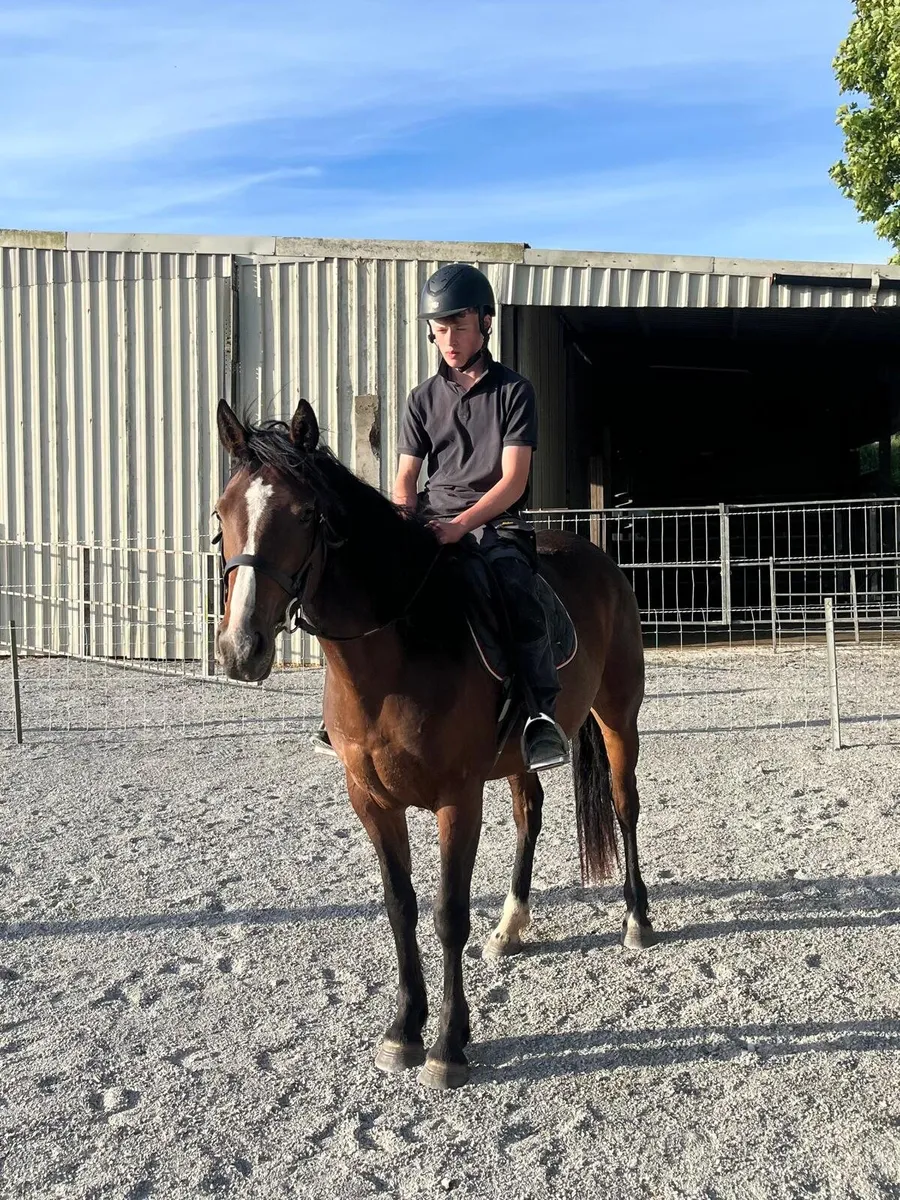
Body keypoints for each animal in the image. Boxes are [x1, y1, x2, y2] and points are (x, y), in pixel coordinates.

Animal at [213, 397, 654, 1090]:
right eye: (221, 513)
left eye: (306, 515)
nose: (240, 649)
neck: (395, 653)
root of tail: (597, 555)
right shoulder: (370, 799)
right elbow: (401, 906)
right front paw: (403, 1031)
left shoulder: (458, 798)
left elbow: (448, 912)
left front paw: (448, 1045)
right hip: (517, 754)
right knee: (530, 811)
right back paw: (511, 925)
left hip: (617, 716)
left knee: (624, 803)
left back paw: (637, 919)